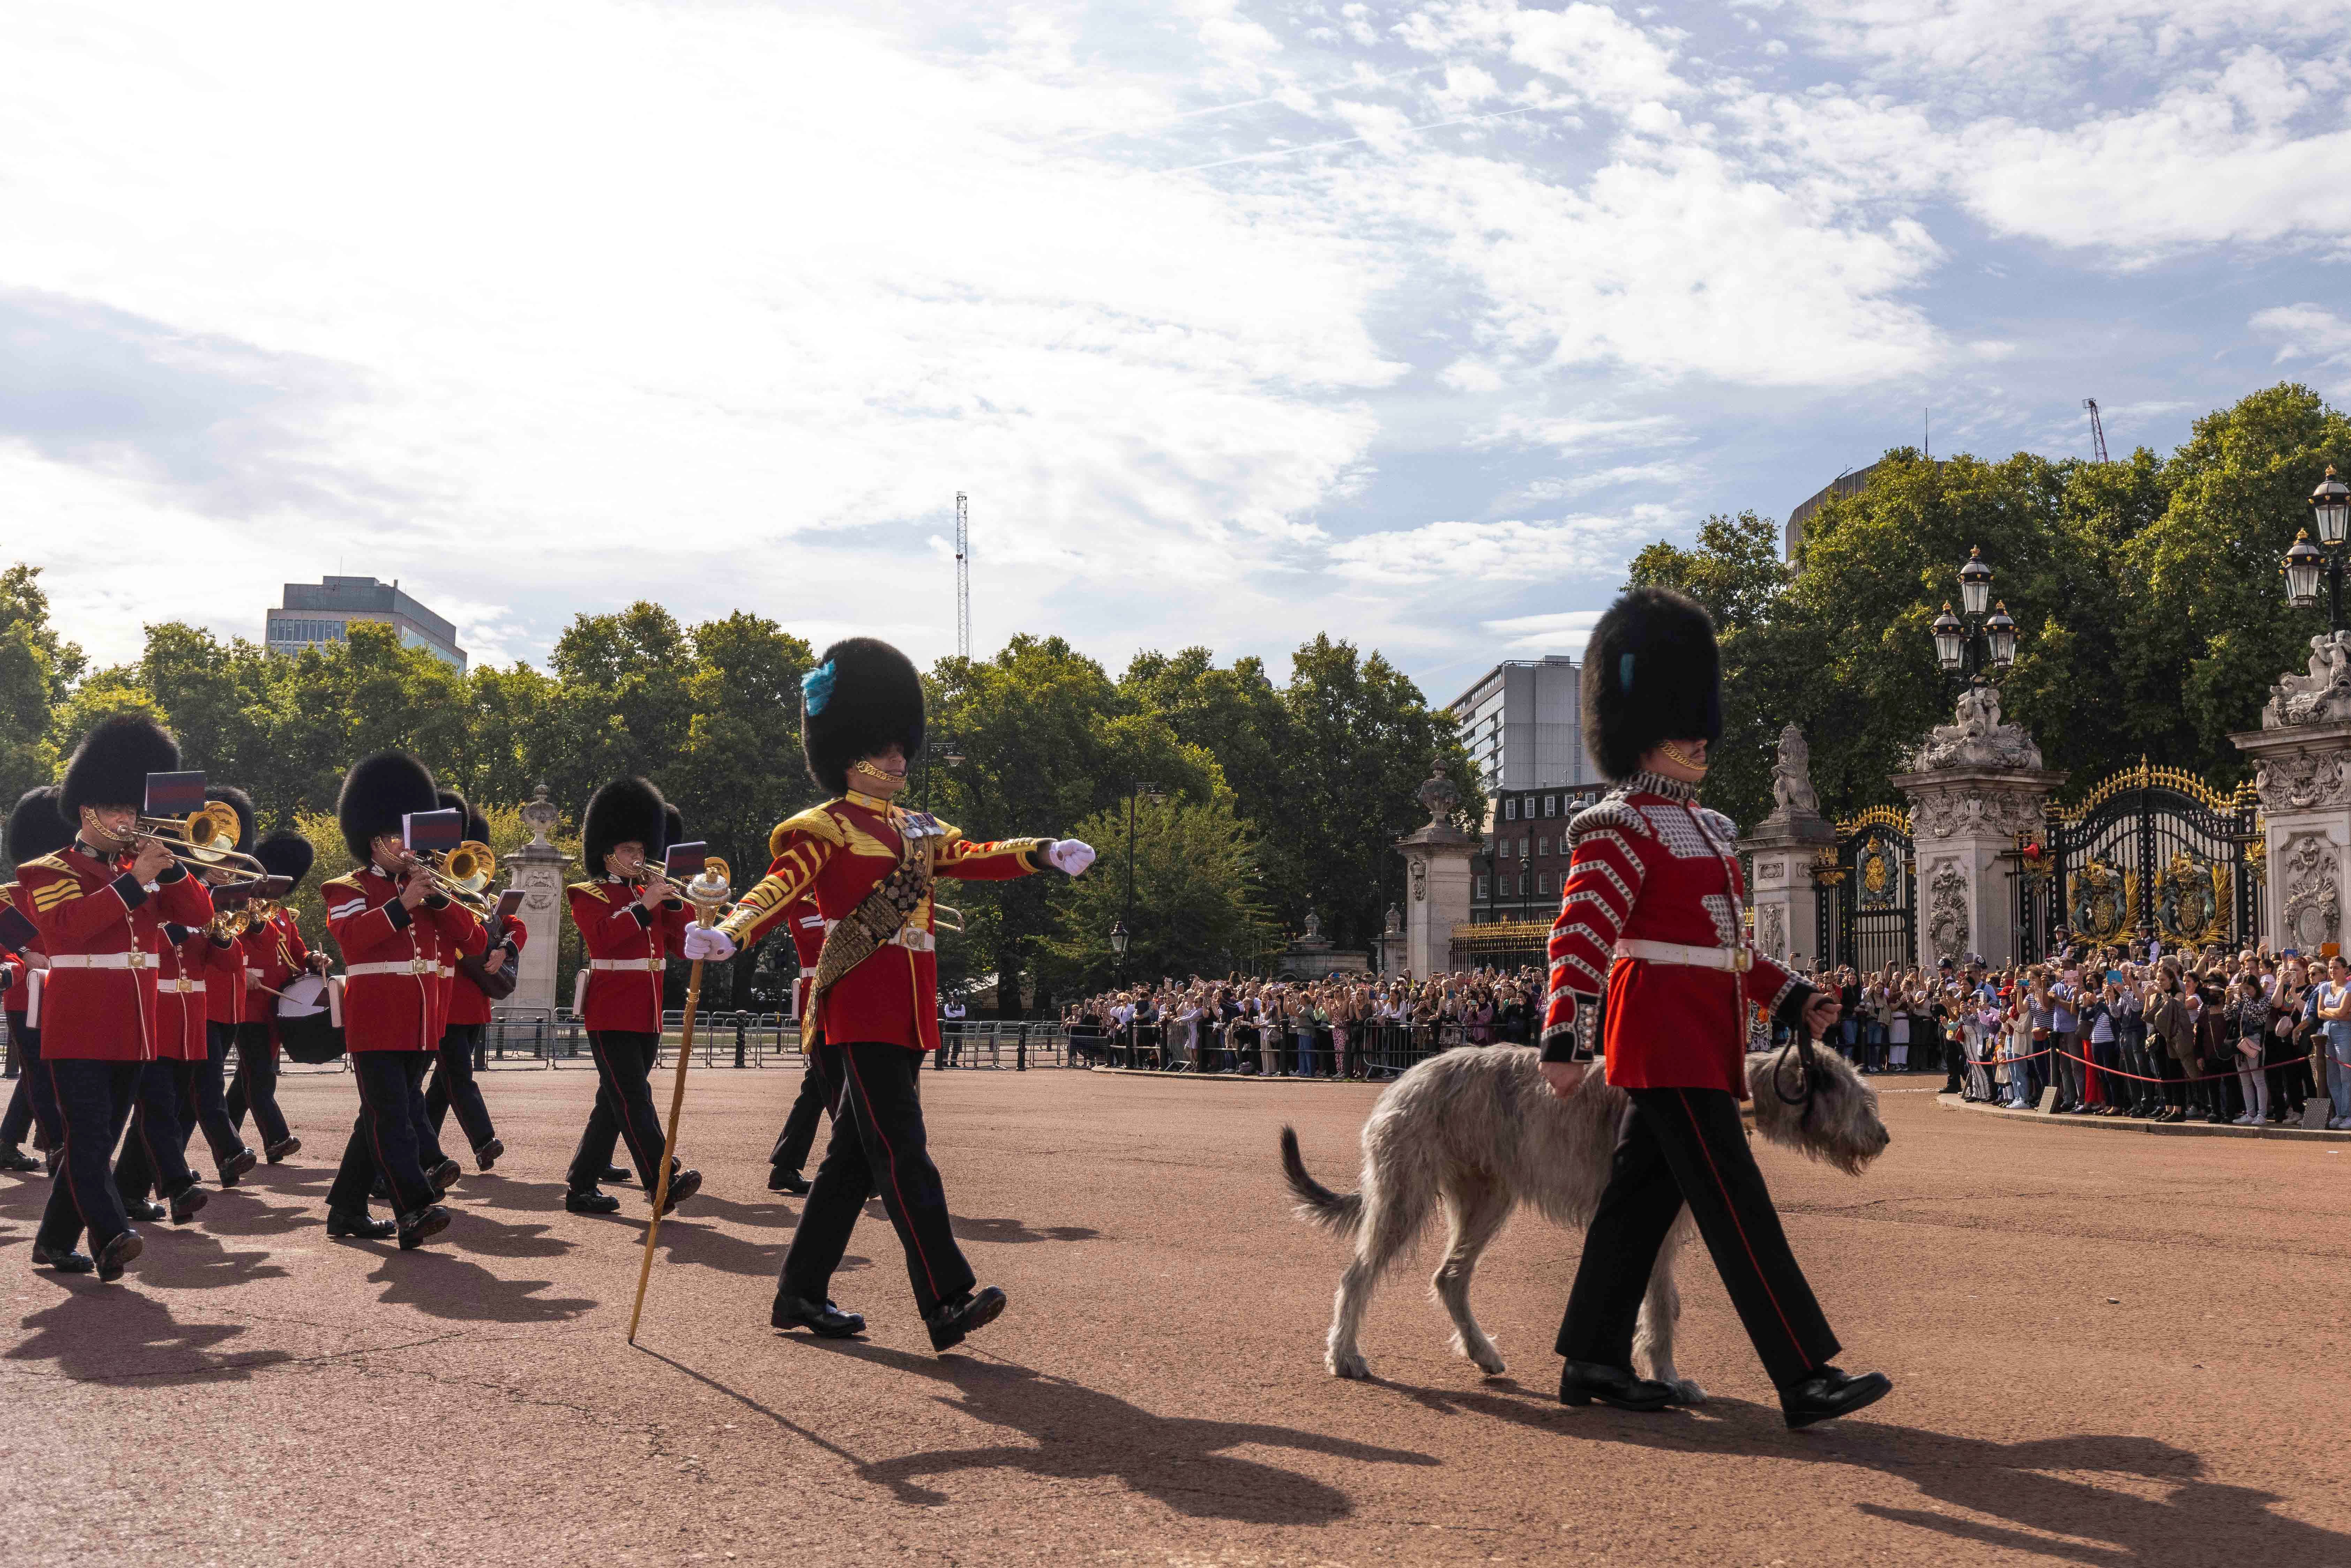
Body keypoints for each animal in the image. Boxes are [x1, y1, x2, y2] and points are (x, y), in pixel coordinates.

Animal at [1279, 1044, 1881, 1401]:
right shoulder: (1657, 1215)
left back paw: (1482, 1351)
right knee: (1357, 1275)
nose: (1884, 1137)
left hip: (1487, 1197)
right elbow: (1663, 1307)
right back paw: (1344, 1354)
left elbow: (1659, 1303)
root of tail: (1401, 1080)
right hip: (1406, 1192)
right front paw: (1667, 1378)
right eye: (1860, 1099)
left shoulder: (1659, 1224)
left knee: (1449, 1277)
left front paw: (1657, 1376)